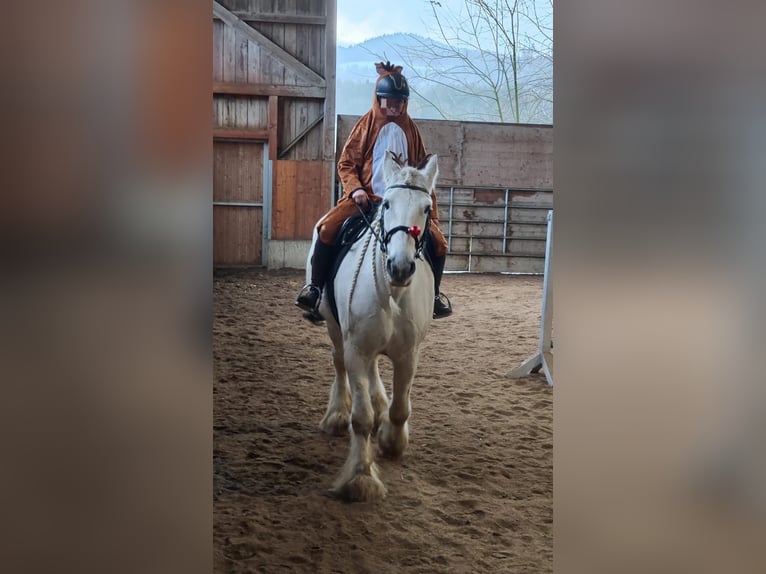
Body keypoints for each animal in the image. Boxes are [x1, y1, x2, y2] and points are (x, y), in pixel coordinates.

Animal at [305, 151, 439, 501]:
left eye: (427, 208)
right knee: (339, 364)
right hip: (335, 328)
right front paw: (360, 477)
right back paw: (336, 416)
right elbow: (361, 419)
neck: (392, 291)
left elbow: (400, 408)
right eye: (387, 204)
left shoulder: (408, 354)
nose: (400, 267)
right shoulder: (356, 348)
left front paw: (392, 441)